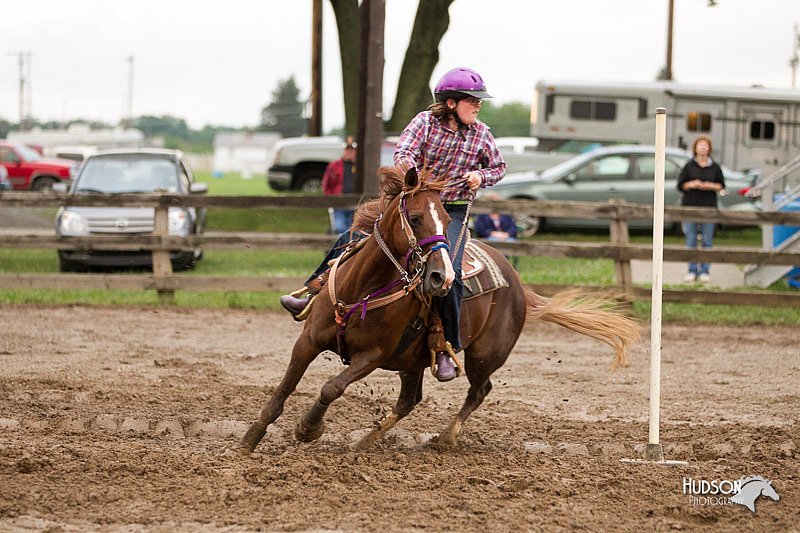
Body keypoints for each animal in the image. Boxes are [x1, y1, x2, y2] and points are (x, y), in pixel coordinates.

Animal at [239, 166, 644, 454]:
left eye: (447, 222)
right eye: (416, 217)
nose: (440, 276)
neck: (362, 288)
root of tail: (517, 282)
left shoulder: (372, 355)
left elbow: (331, 387)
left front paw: (308, 428)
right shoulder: (308, 340)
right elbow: (285, 387)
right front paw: (250, 439)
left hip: (483, 355)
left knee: (479, 391)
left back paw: (444, 438)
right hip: (412, 360)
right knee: (409, 400)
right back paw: (367, 441)